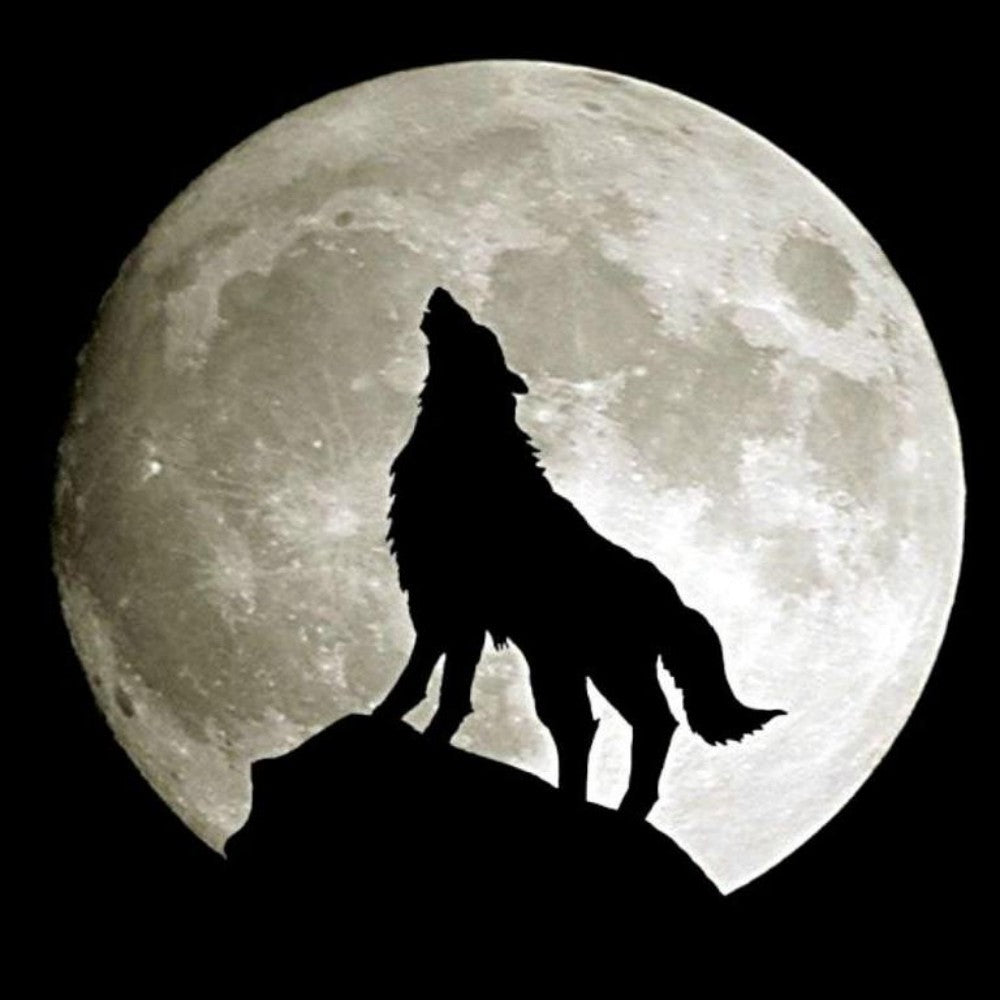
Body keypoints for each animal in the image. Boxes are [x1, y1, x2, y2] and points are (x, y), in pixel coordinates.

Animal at [372, 287, 785, 818]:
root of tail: (673, 598)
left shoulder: (447, 602)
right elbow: (450, 690)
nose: (442, 294)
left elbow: (422, 680)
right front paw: (426, 736)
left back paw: (620, 809)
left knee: (645, 724)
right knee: (582, 726)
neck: (469, 443)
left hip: (602, 666)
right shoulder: (457, 613)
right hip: (563, 663)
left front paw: (385, 720)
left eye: (477, 331)